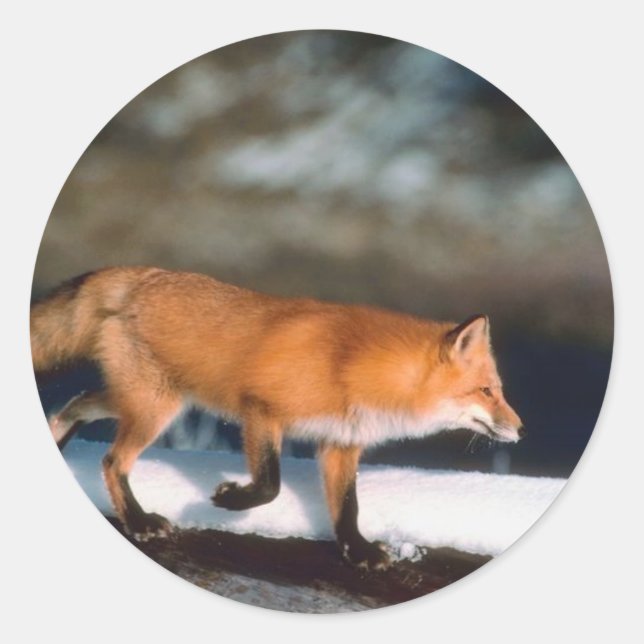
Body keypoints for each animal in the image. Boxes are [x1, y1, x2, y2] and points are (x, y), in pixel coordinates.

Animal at [31, 266, 524, 570]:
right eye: (487, 391)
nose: (521, 429)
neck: (351, 366)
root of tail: (138, 274)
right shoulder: (262, 411)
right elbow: (270, 484)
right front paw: (231, 500)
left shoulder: (339, 442)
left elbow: (347, 508)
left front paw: (358, 551)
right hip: (155, 407)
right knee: (113, 462)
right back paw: (139, 522)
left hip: (142, 401)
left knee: (73, 404)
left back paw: (57, 440)